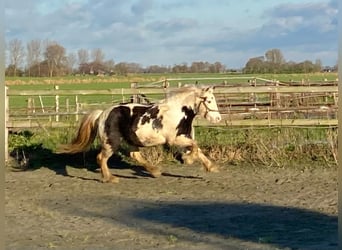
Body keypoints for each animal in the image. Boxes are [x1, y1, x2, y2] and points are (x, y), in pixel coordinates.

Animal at [56, 86, 222, 184]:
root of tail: (102, 114)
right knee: (101, 158)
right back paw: (110, 178)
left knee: (134, 155)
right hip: (112, 142)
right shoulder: (174, 139)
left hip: (130, 140)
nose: (218, 119)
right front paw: (188, 159)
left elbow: (197, 149)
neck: (178, 111)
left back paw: (155, 171)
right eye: (208, 100)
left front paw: (211, 167)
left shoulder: (185, 137)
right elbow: (195, 147)